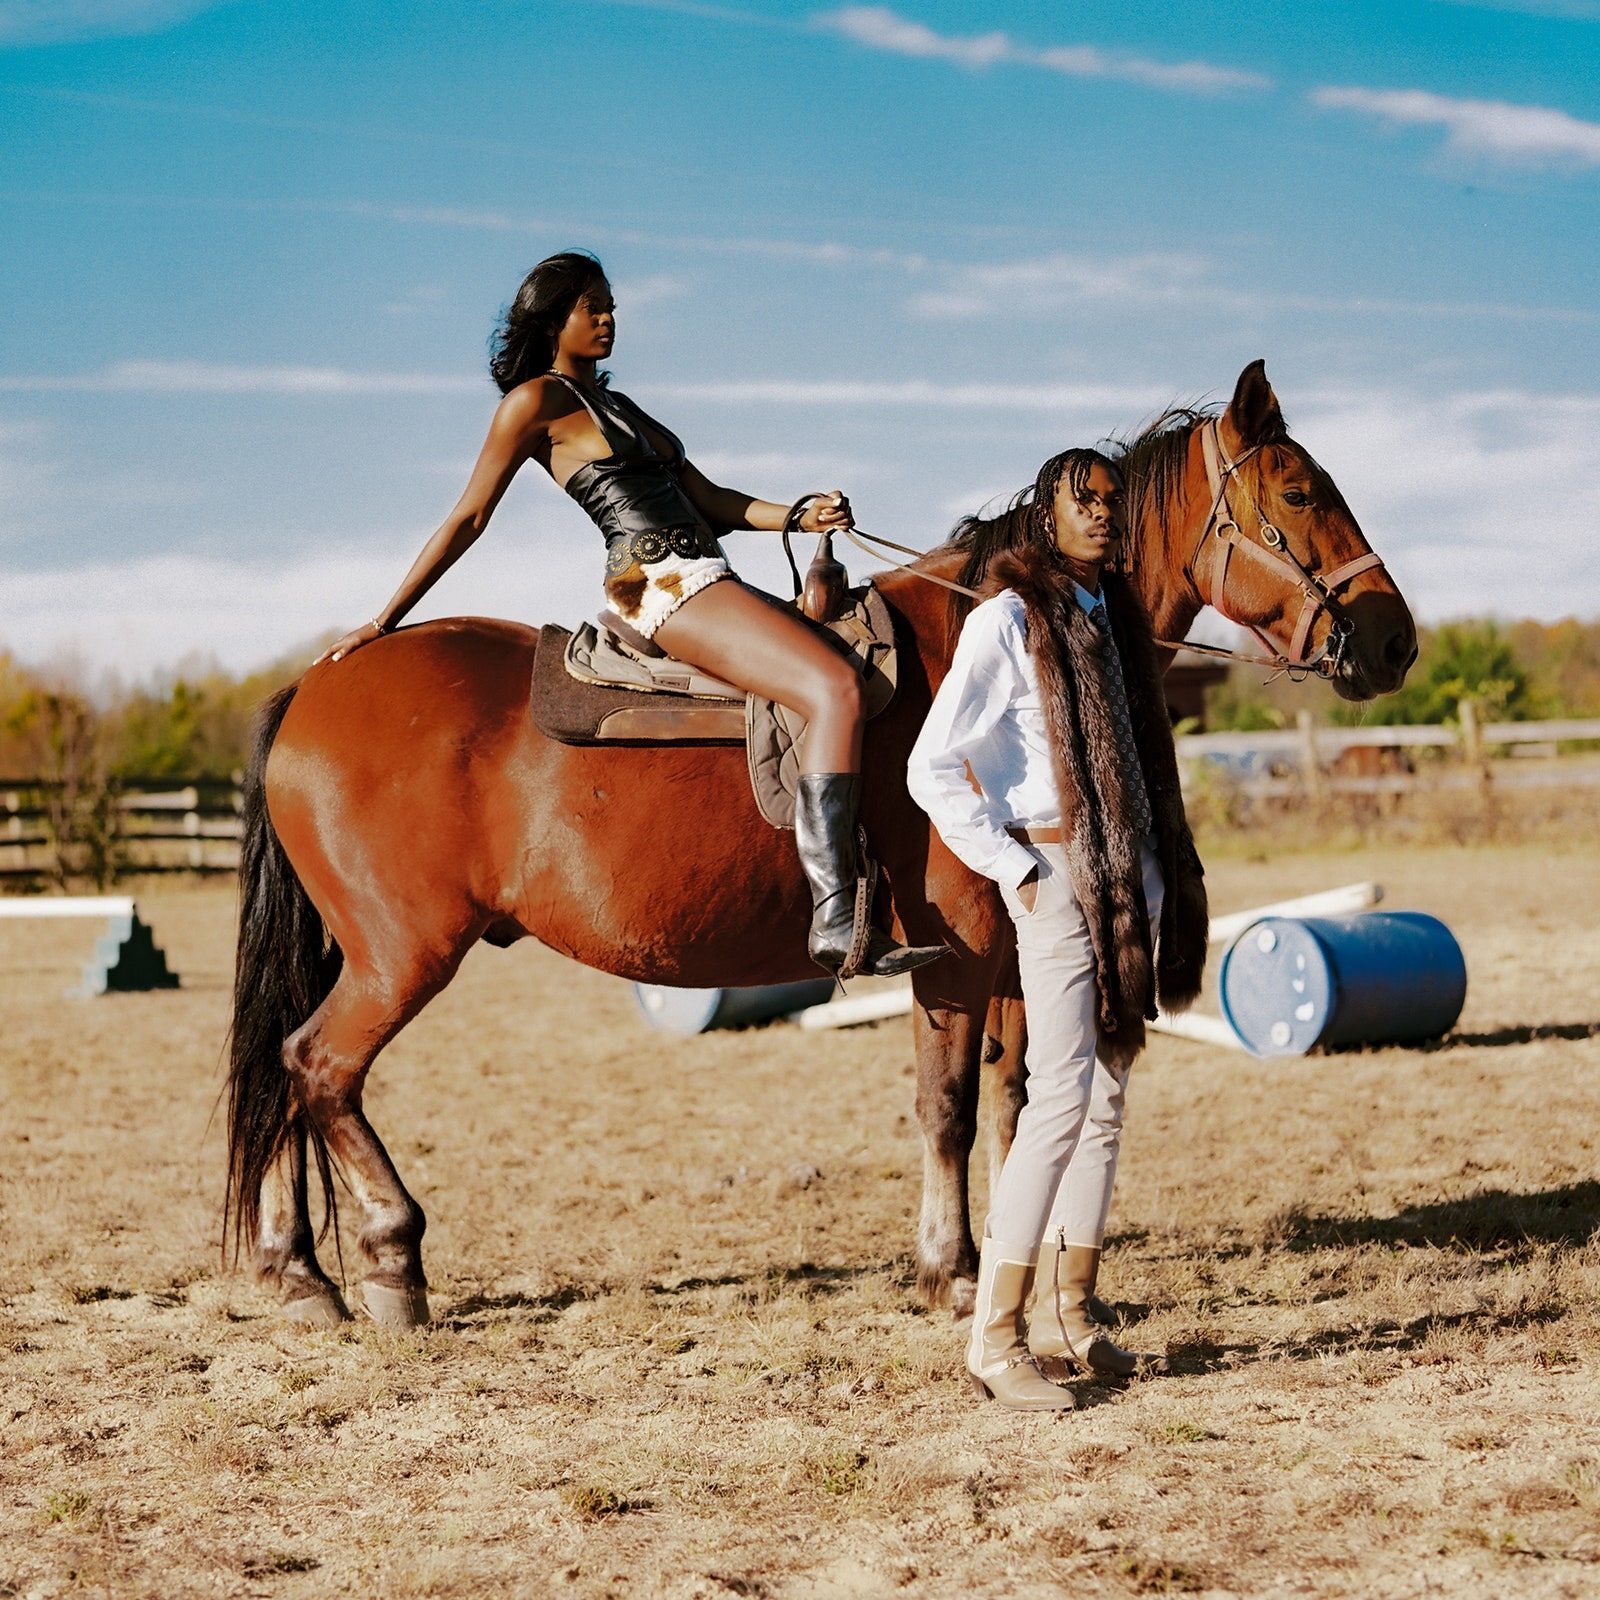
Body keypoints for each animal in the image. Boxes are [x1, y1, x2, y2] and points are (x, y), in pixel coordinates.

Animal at [222, 360, 1414, 1324]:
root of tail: (318, 683)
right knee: (318, 1066)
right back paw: (390, 1259)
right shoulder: (955, 958)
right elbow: (945, 1106)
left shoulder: (1020, 952)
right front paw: (951, 1269)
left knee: (283, 1068)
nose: (1393, 638)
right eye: (1300, 493)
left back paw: (298, 1270)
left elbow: (1015, 1101)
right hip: (401, 953)